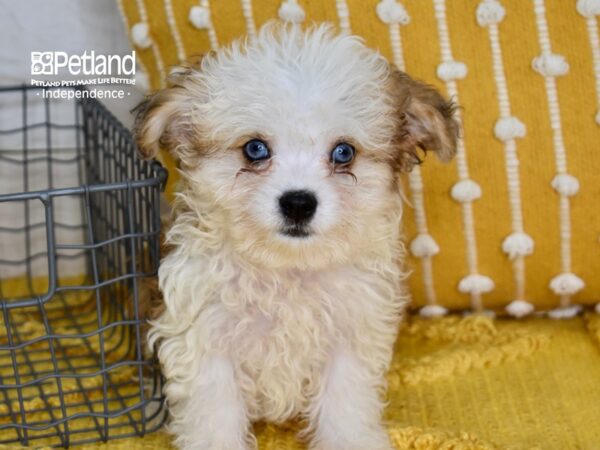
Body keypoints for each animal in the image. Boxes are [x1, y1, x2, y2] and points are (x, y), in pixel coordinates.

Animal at [134, 23, 458, 450]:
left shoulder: (350, 335)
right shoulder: (203, 338)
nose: (299, 203)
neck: (287, 272)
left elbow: (344, 404)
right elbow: (215, 413)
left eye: (343, 153)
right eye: (255, 149)